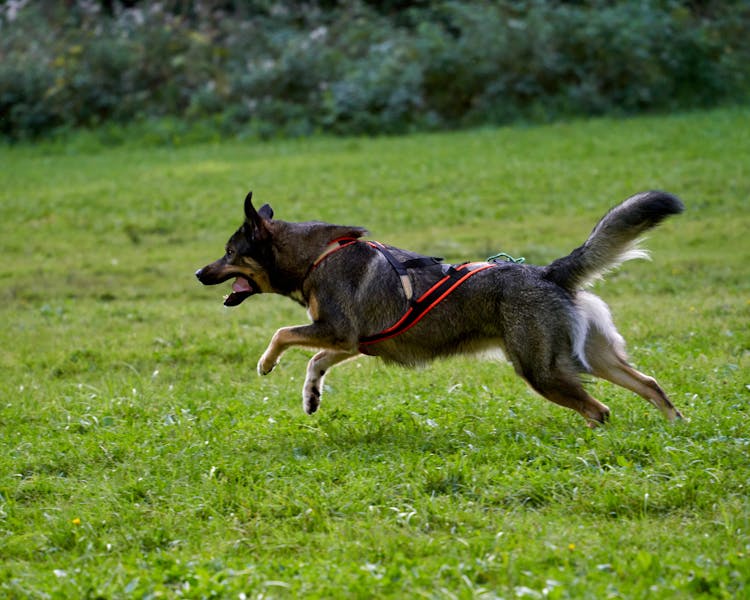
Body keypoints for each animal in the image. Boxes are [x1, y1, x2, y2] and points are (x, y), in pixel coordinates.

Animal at [195, 192, 688, 426]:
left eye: (230, 252)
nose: (199, 273)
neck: (317, 256)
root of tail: (549, 273)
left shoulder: (336, 330)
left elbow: (282, 333)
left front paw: (265, 364)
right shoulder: (350, 341)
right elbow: (315, 360)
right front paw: (311, 396)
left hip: (543, 371)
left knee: (599, 410)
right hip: (597, 358)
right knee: (649, 385)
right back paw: (675, 428)